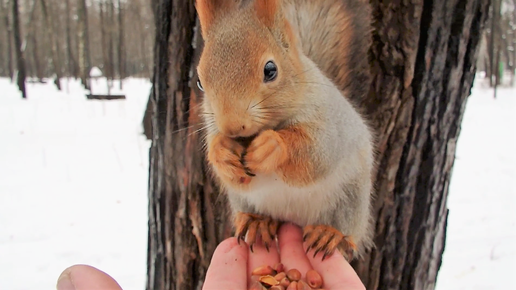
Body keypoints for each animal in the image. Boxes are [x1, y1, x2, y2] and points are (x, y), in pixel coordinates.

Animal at [196, 0, 372, 260]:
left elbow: (315, 154)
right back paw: (258, 222)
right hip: (243, 201)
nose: (232, 126)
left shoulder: (329, 123)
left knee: (346, 228)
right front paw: (223, 154)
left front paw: (272, 147)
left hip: (351, 196)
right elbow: (232, 173)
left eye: (270, 70)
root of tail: (294, 218)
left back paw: (329, 233)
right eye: (200, 81)